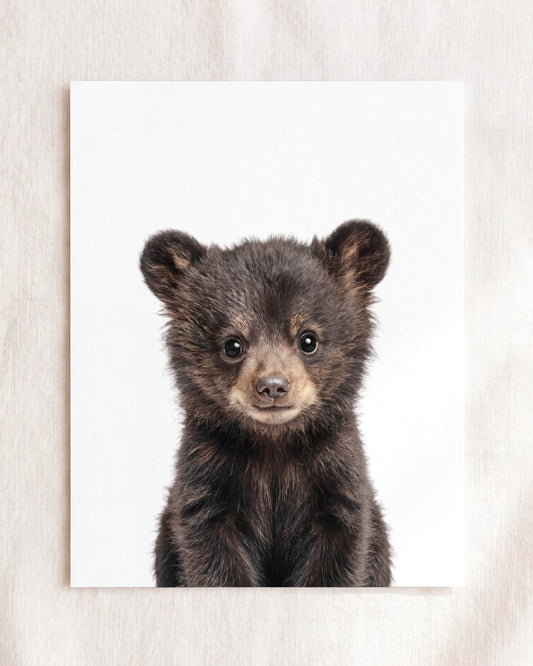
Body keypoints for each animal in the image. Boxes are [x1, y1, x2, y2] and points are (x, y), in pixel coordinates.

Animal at [140, 219, 392, 587]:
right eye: (233, 345)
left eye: (308, 340)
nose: (273, 387)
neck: (273, 444)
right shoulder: (207, 476)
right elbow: (213, 556)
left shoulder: (336, 475)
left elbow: (338, 555)